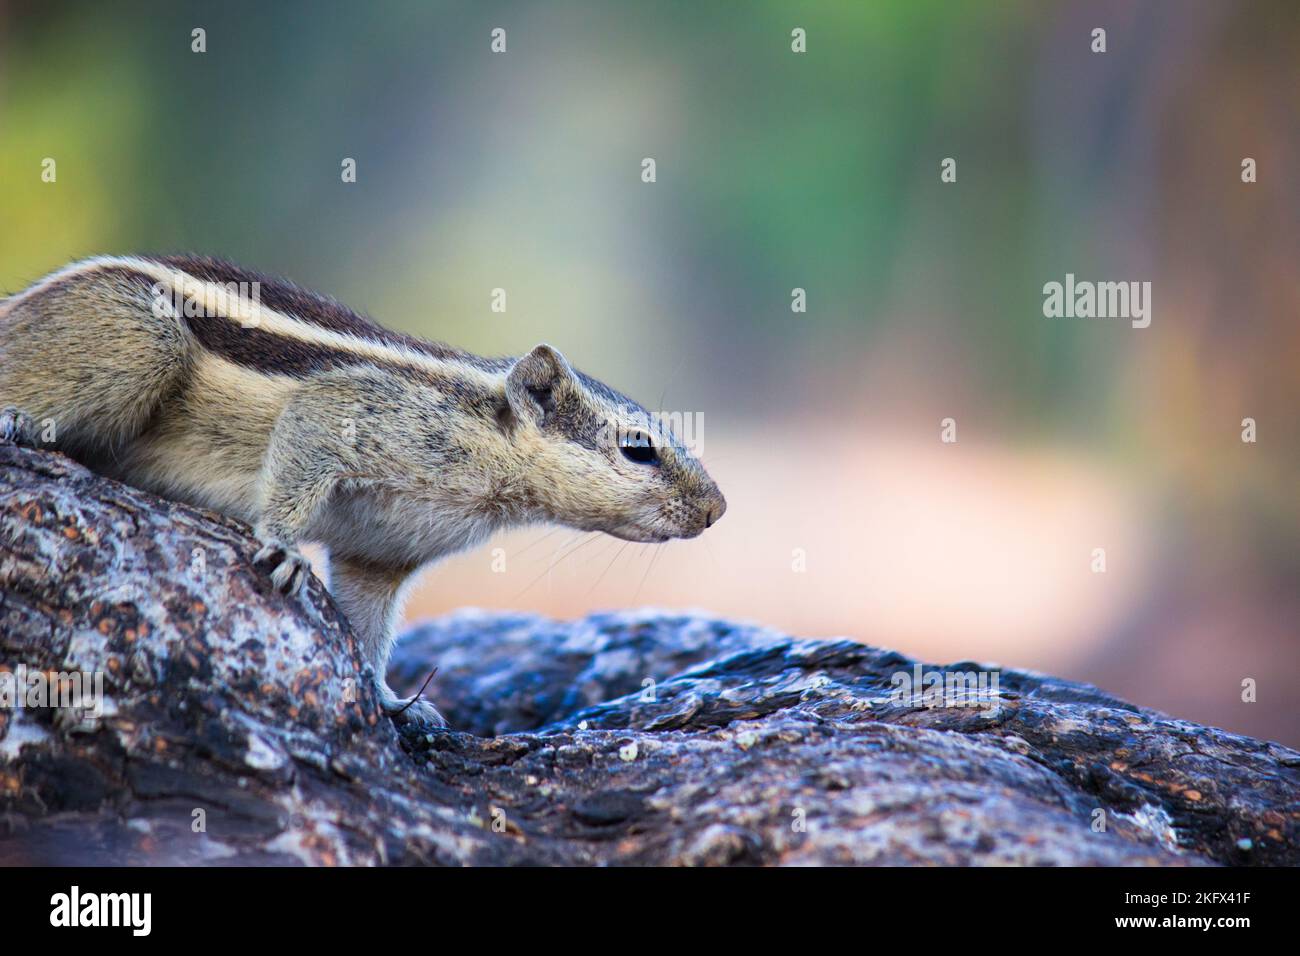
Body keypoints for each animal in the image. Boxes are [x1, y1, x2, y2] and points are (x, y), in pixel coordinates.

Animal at [0, 254, 728, 723]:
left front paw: (391, 699)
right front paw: (283, 547)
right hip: (139, 340)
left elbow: (368, 623)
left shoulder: (383, 553)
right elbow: (305, 442)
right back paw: (18, 422)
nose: (717, 509)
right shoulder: (350, 412)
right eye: (638, 448)